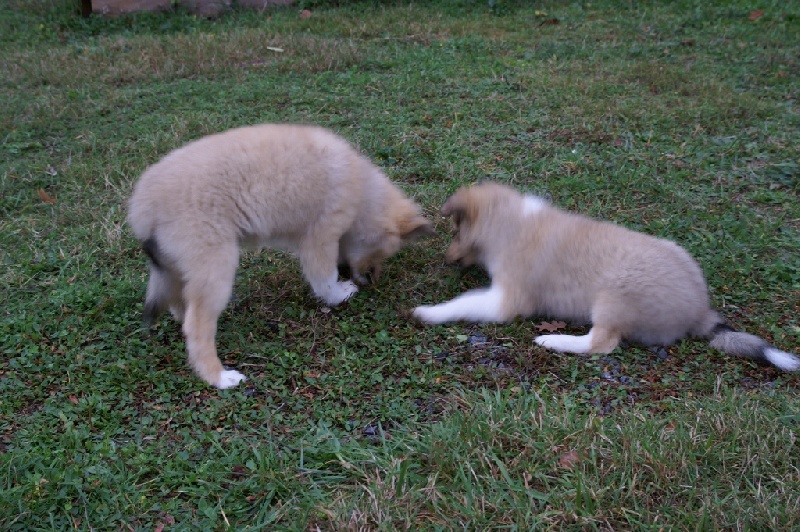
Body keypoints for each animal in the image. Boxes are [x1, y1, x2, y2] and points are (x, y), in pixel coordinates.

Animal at [130, 125, 432, 390]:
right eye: (383, 252)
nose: (371, 281)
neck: (363, 191)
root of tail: (144, 206)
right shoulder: (319, 237)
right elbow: (324, 279)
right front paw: (340, 294)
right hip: (216, 264)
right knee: (197, 325)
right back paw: (219, 377)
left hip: (180, 267)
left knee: (182, 305)